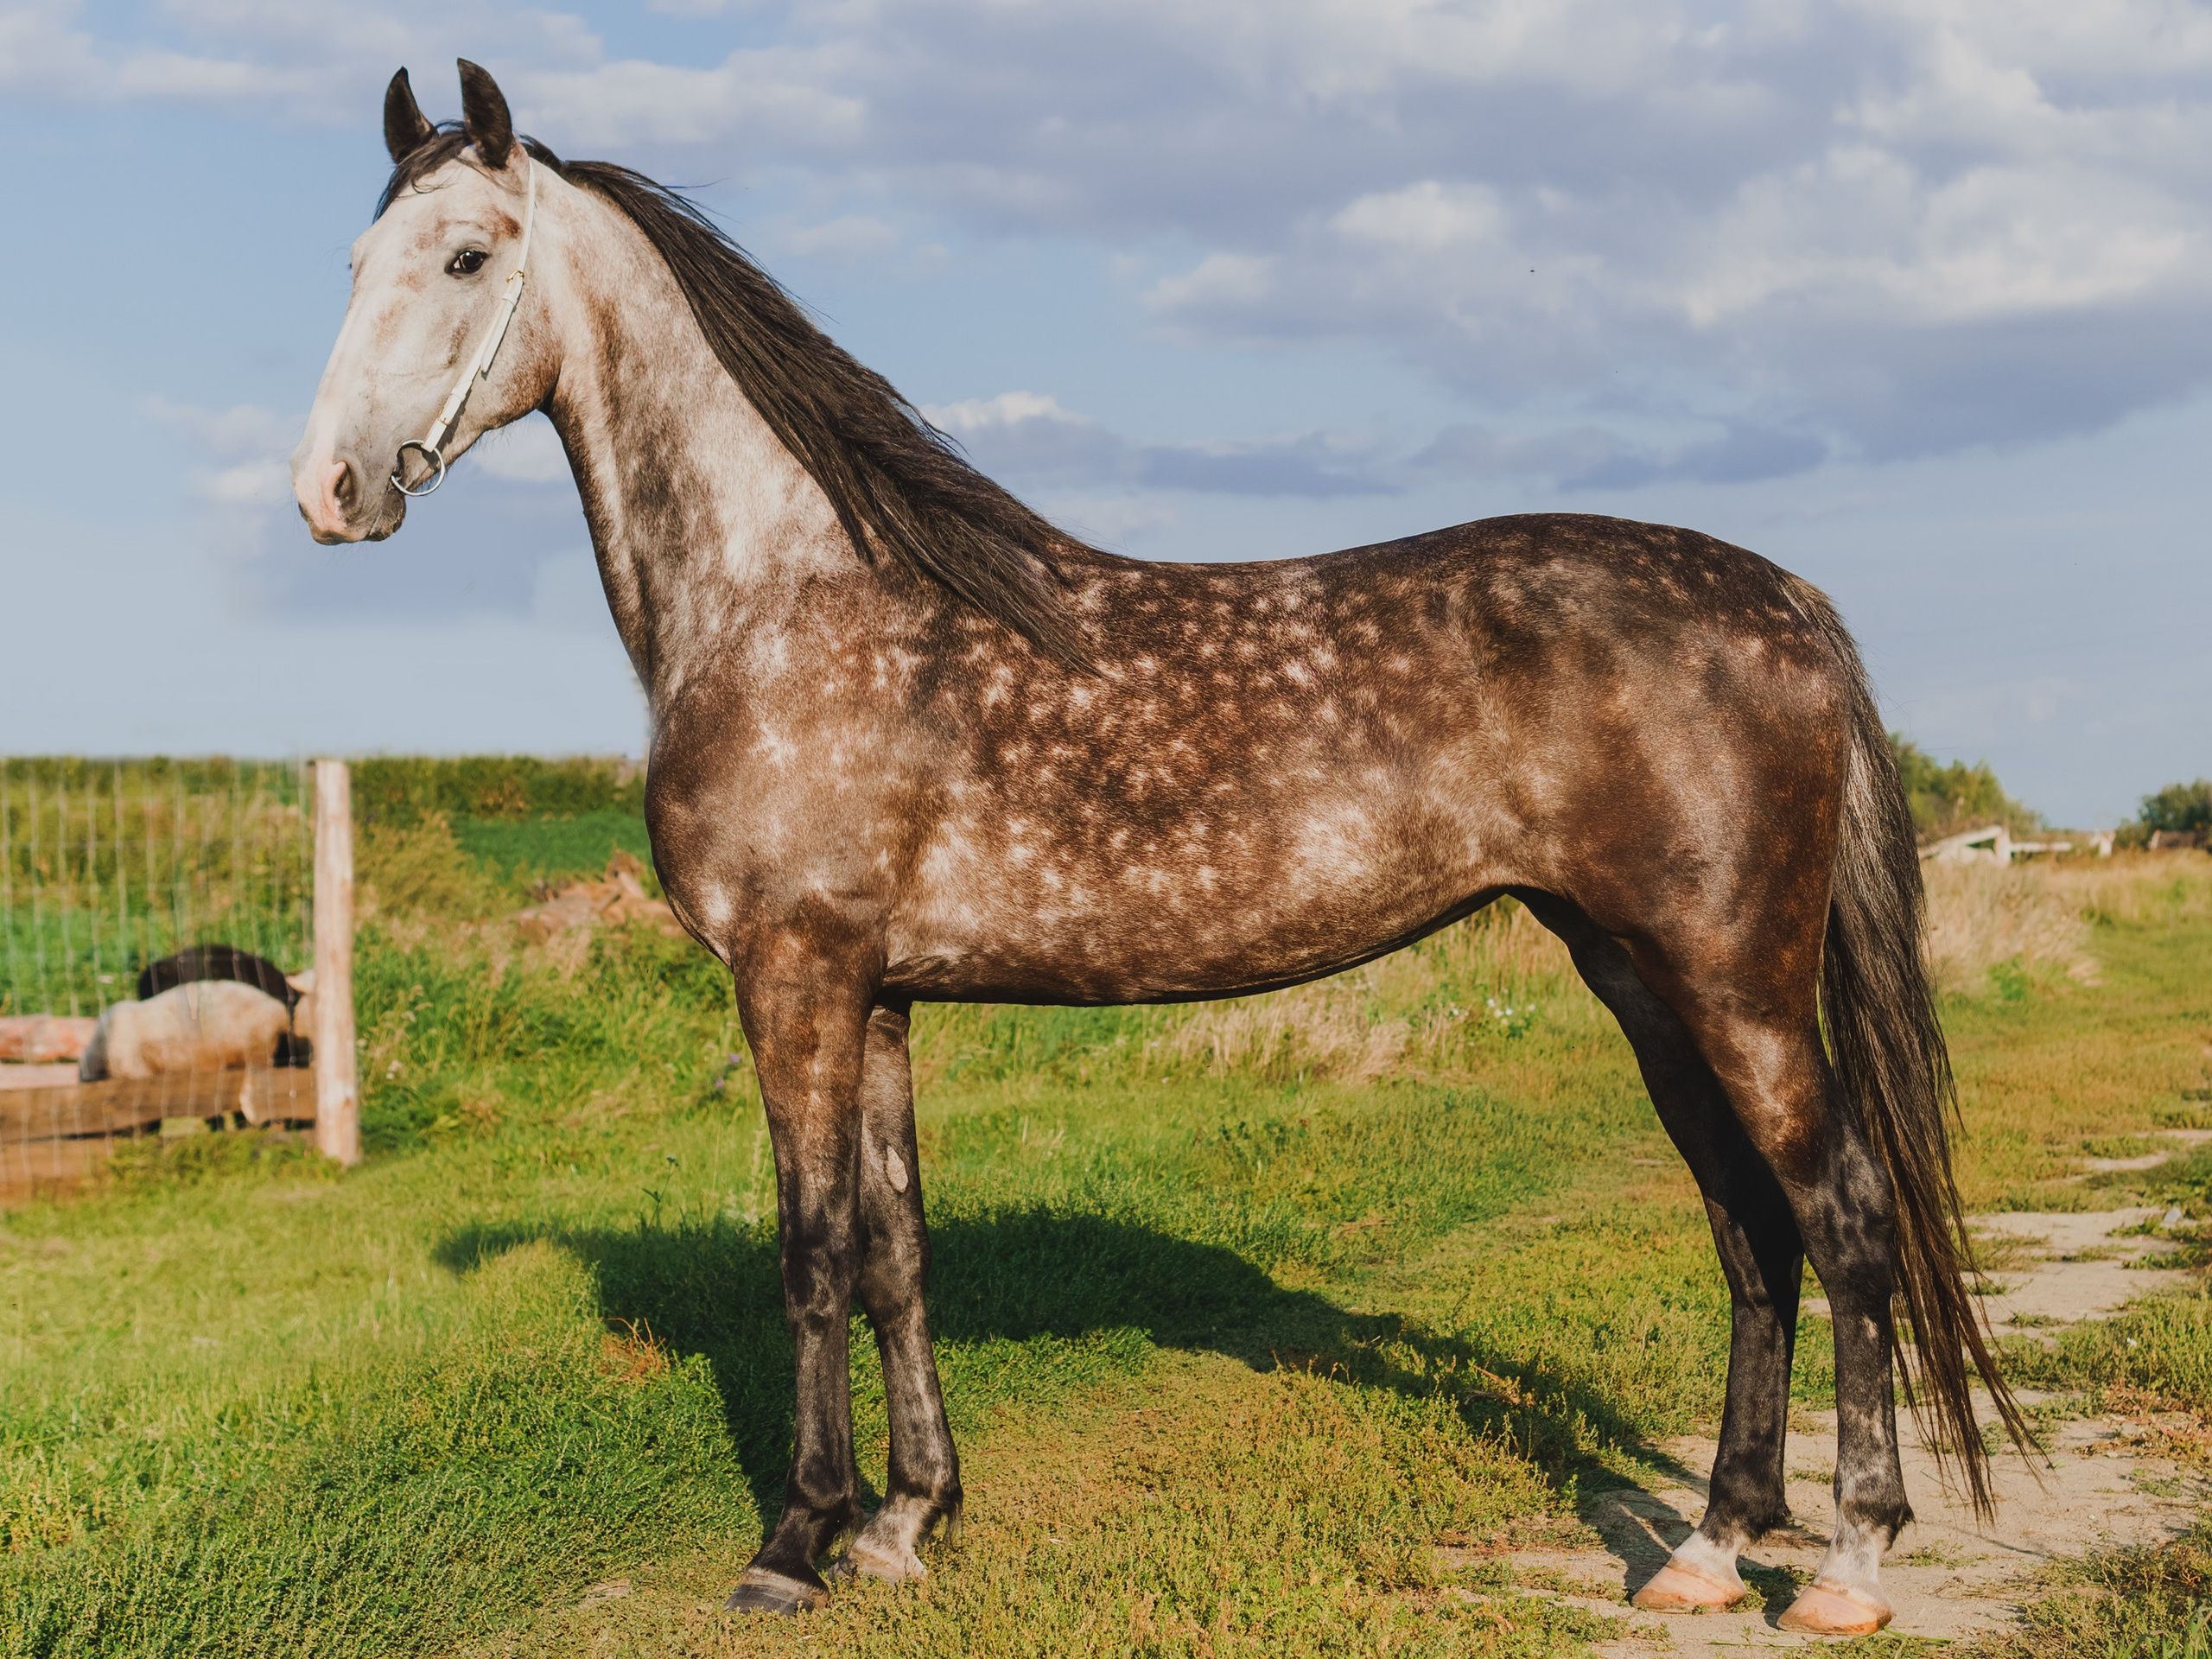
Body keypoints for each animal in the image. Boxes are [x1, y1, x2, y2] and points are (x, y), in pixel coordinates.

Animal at [292, 59, 2023, 1635]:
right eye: (357, 259)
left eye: (465, 257)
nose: (328, 493)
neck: (788, 597)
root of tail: (1785, 598)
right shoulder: (881, 1001)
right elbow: (900, 1251)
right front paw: (908, 1524)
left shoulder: (795, 981)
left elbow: (812, 1251)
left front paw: (795, 1543)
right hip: (1641, 978)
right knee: (1751, 1233)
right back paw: (1715, 1551)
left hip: (1736, 986)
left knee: (1842, 1218)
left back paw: (1850, 1565)